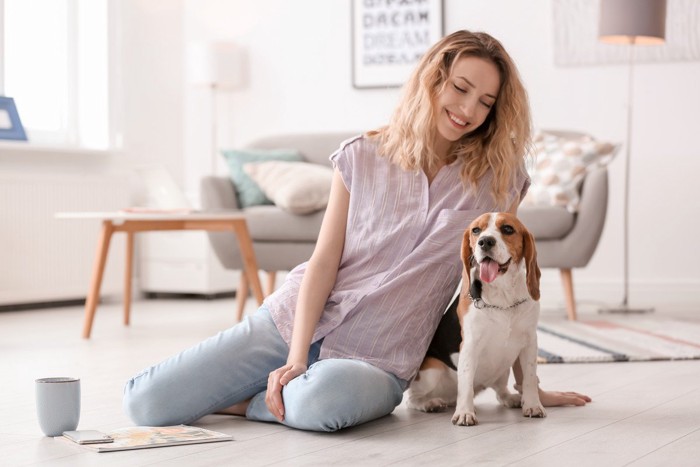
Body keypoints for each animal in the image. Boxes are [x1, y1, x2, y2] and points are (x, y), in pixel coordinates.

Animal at [404, 214, 548, 426]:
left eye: (507, 229)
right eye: (476, 230)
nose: (485, 241)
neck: (503, 297)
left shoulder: (530, 342)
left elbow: (529, 378)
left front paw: (532, 405)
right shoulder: (470, 345)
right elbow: (465, 384)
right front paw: (464, 413)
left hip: (502, 370)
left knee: (500, 392)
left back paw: (511, 398)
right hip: (432, 370)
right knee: (412, 399)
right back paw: (430, 403)